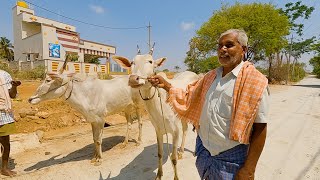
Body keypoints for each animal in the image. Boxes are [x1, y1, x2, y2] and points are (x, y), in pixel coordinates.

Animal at [112, 50, 198, 179]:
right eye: (132, 62)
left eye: (150, 61)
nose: (133, 79)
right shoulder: (158, 130)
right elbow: (160, 153)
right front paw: (159, 175)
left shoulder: (175, 132)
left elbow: (173, 159)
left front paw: (176, 177)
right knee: (186, 129)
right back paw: (181, 151)